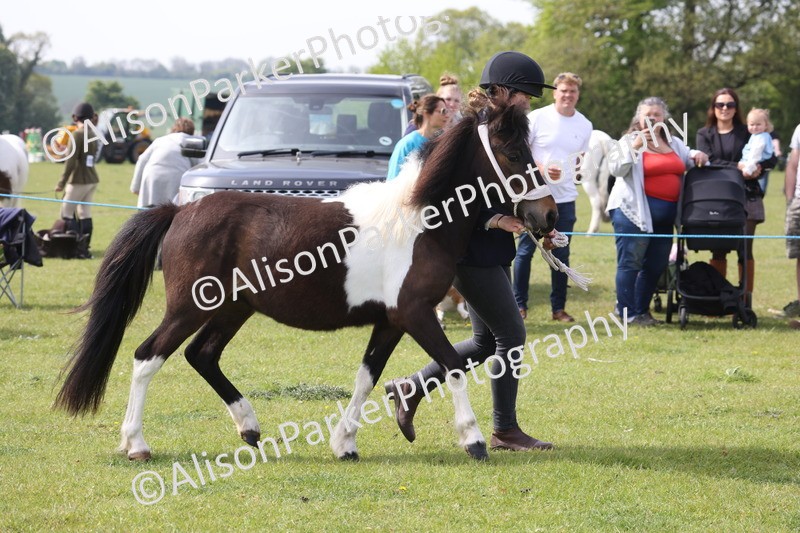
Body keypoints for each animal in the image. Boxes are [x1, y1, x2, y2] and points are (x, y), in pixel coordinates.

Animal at [54, 100, 558, 462]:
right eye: (515, 153)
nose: (548, 216)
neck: (419, 221)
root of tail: (180, 211)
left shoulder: (390, 322)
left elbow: (367, 378)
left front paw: (345, 445)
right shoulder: (415, 315)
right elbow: (452, 365)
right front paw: (473, 441)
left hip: (233, 308)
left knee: (203, 355)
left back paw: (250, 428)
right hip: (188, 308)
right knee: (147, 357)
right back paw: (137, 444)